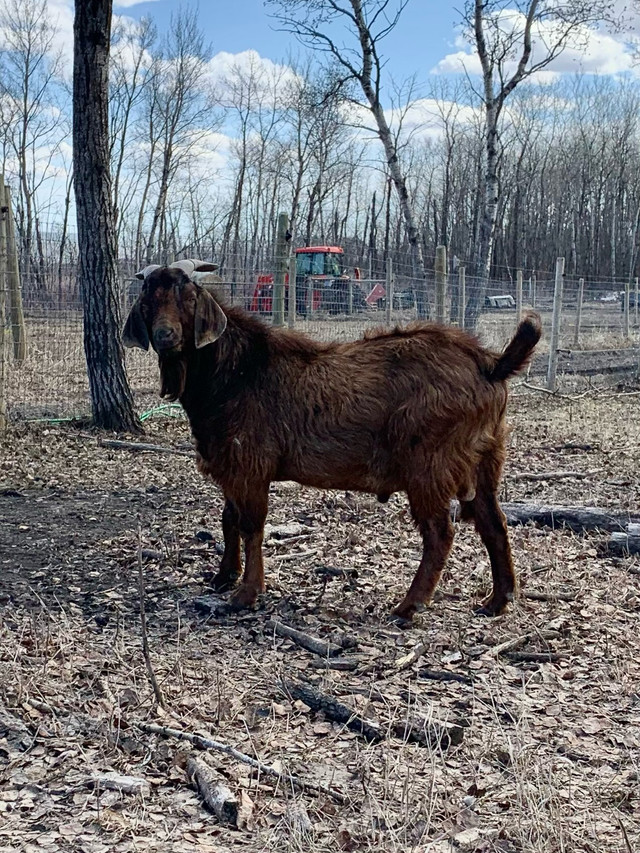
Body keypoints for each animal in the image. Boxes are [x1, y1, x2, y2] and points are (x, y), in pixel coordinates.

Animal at [124, 260, 540, 620]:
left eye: (188, 298)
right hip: (486, 459)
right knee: (494, 522)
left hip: (430, 464)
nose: (165, 336)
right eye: (147, 301)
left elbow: (250, 525)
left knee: (440, 532)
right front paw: (223, 577)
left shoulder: (251, 464)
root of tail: (489, 364)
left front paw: (246, 594)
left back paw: (409, 607)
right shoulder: (230, 465)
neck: (237, 370)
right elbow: (228, 519)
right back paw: (498, 600)